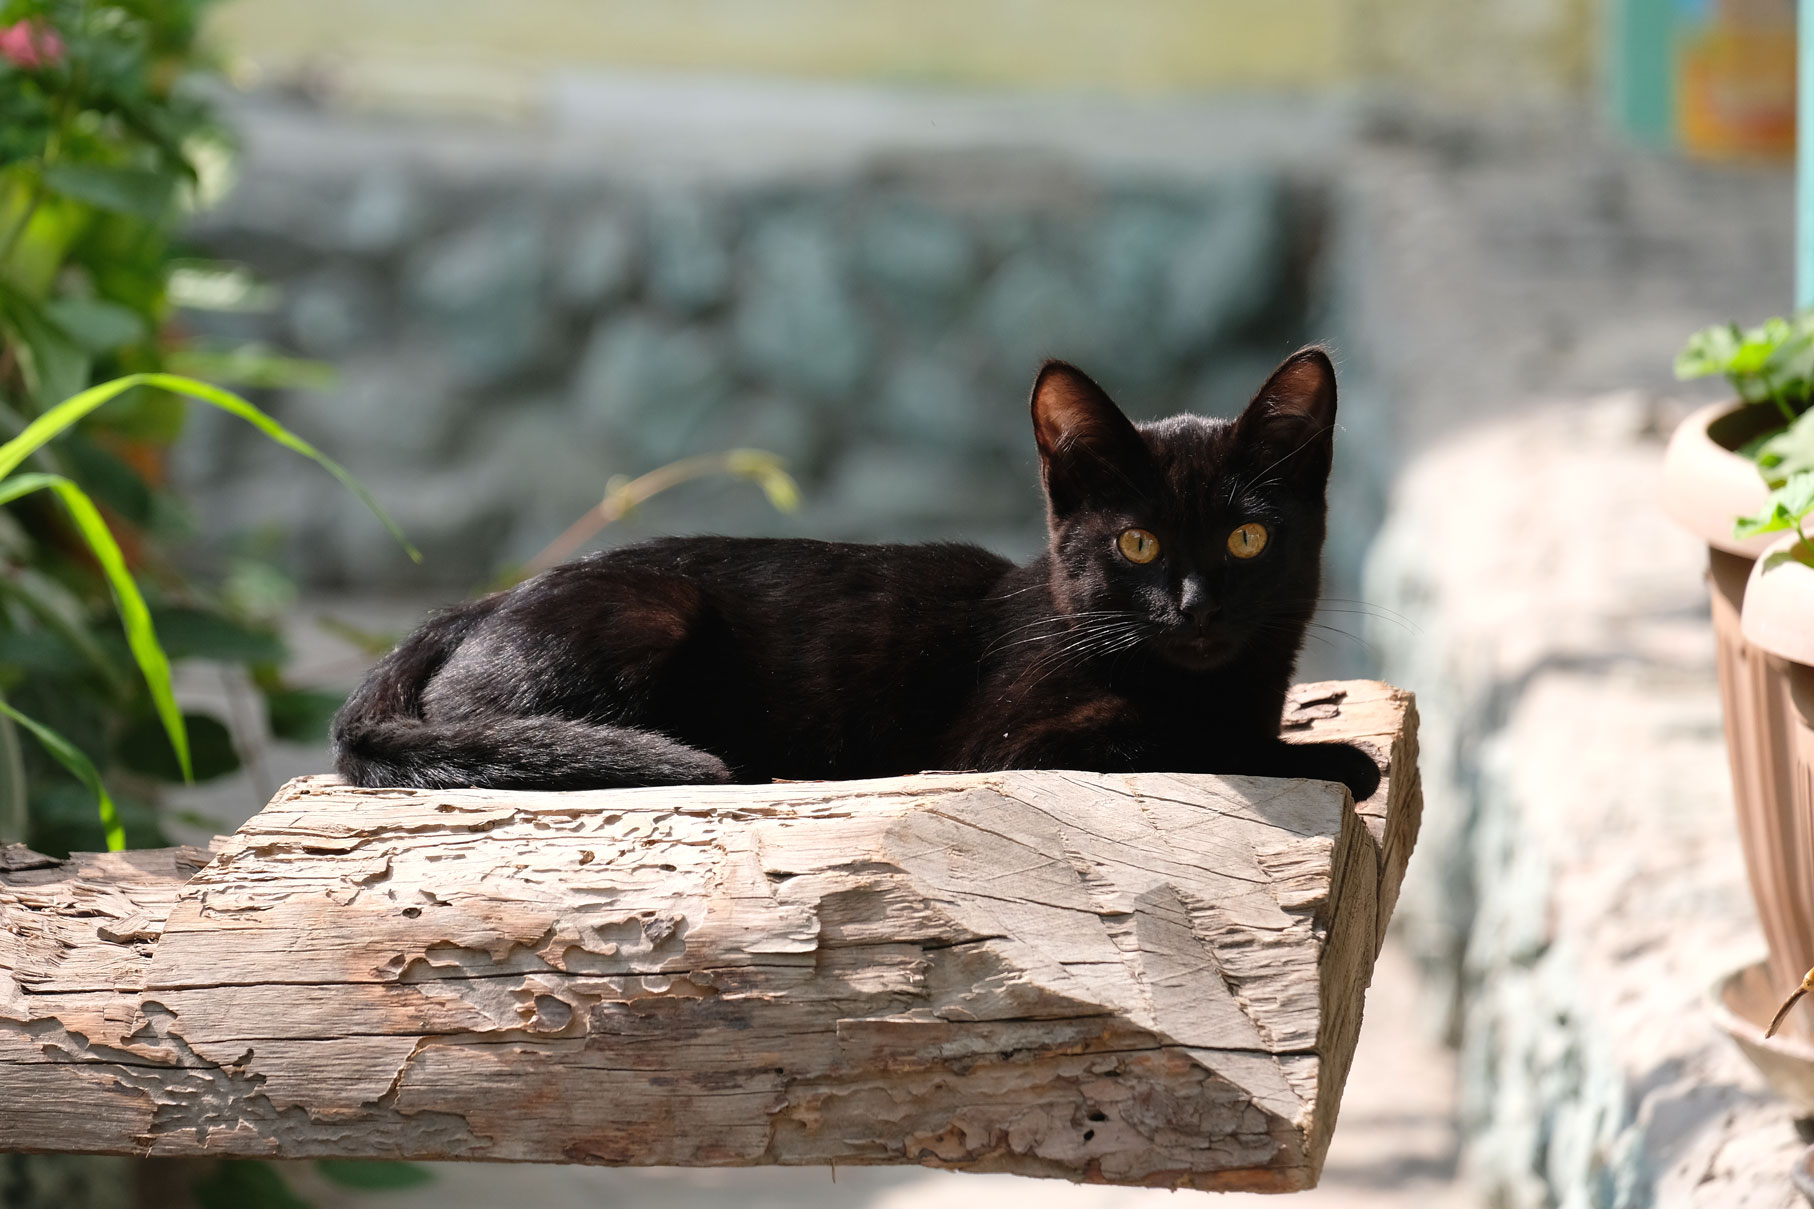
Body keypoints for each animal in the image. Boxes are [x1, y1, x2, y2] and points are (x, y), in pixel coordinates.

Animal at [330, 343, 1371, 798]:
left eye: (1247, 540)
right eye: (1139, 545)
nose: (1195, 607)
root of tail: (476, 605)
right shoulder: (1008, 742)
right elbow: (1183, 737)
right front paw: (1332, 755)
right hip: (652, 609)